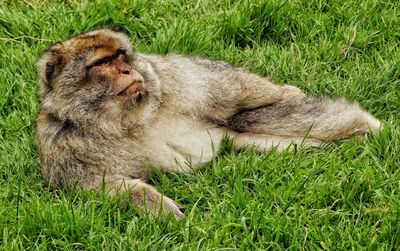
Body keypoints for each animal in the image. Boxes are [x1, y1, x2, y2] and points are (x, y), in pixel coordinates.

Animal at [36, 28, 380, 219]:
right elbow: (96, 185)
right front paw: (158, 208)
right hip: (237, 138)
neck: (123, 119)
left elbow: (232, 89)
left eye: (120, 56)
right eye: (102, 64)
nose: (126, 71)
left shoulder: (172, 77)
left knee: (260, 105)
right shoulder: (60, 145)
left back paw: (367, 126)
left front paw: (286, 91)